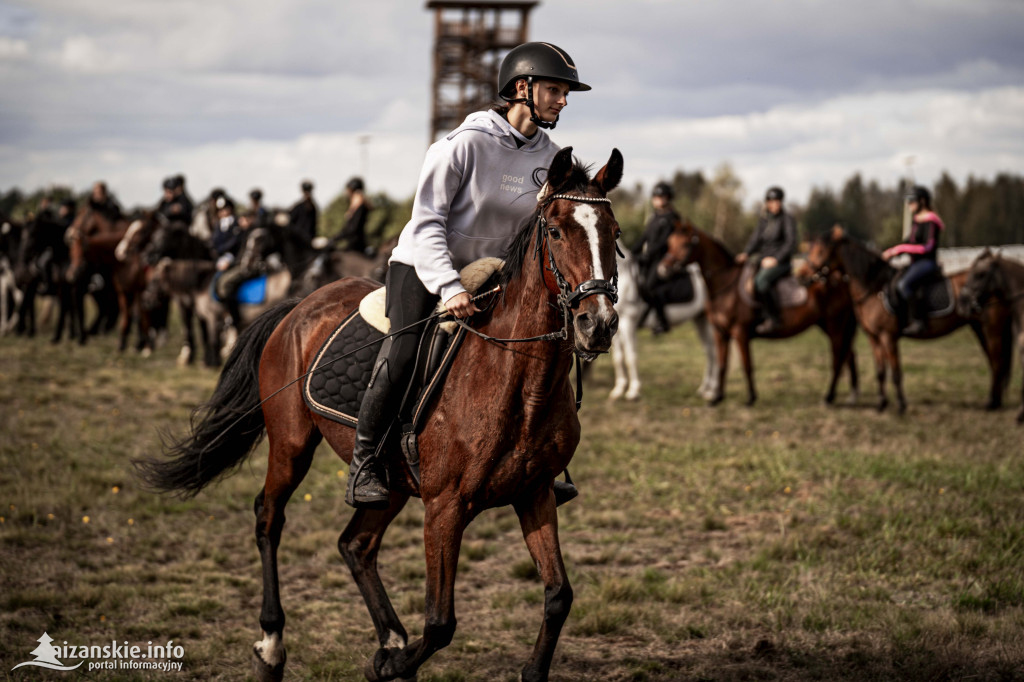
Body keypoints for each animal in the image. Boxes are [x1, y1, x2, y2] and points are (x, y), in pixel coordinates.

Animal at [137, 148, 622, 679]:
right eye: (555, 231)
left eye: (615, 233)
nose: (597, 324)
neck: (519, 382)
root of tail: (300, 304)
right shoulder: (446, 506)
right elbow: (440, 622)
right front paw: (390, 667)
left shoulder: (534, 494)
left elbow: (558, 597)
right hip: (290, 443)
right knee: (269, 517)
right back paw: (272, 644)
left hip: (389, 482)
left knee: (356, 544)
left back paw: (389, 637)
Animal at [651, 220, 860, 405]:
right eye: (670, 243)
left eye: (686, 244)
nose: (662, 269)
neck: (726, 286)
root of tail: (841, 277)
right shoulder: (720, 333)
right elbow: (722, 365)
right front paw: (717, 398)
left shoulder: (740, 332)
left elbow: (747, 366)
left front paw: (750, 398)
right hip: (830, 326)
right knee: (848, 355)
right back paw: (851, 395)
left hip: (835, 326)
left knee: (838, 359)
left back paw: (829, 398)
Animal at [806, 225, 1015, 411]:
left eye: (821, 250)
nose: (808, 276)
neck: (874, 288)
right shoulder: (874, 338)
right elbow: (880, 372)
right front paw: (881, 404)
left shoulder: (888, 337)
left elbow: (896, 373)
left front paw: (900, 405)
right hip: (980, 328)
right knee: (994, 362)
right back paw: (994, 401)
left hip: (992, 330)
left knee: (997, 362)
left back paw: (992, 403)